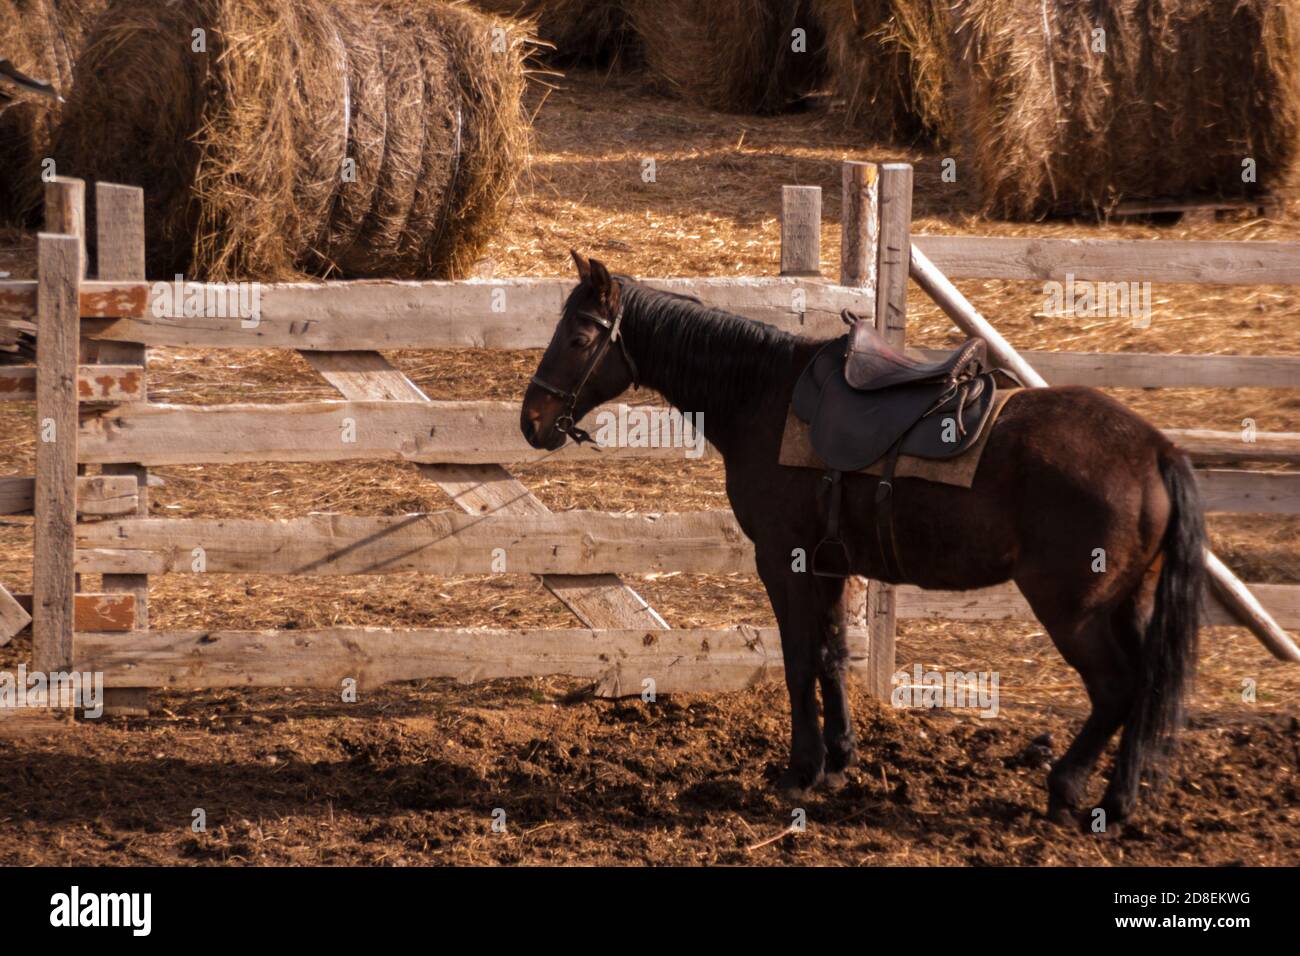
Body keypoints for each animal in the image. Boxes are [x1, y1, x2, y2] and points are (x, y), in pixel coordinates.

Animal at [520, 254, 1206, 832]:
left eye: (579, 338)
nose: (531, 421)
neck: (761, 396)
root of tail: (1155, 449)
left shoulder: (785, 562)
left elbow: (801, 659)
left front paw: (801, 770)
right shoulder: (830, 567)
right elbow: (832, 654)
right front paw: (840, 759)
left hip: (1074, 609)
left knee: (1116, 688)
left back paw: (1067, 789)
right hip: (1128, 603)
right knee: (1146, 686)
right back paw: (1119, 799)